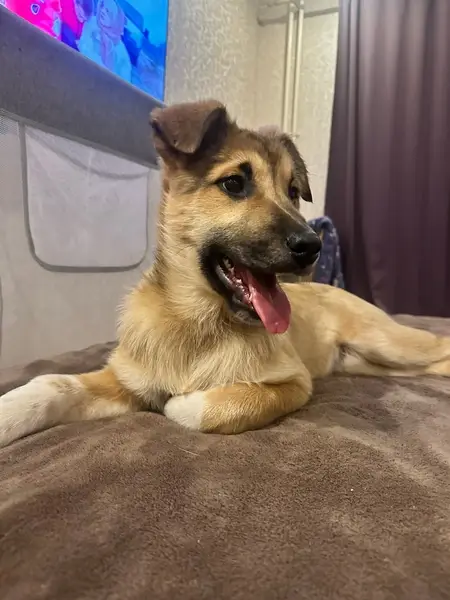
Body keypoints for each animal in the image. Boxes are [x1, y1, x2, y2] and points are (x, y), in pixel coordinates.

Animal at [2, 99, 450, 447]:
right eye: (234, 184)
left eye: (293, 192)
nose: (313, 247)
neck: (197, 322)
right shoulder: (125, 379)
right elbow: (53, 383)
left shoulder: (294, 383)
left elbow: (226, 403)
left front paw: (182, 402)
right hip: (367, 362)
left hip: (387, 341)